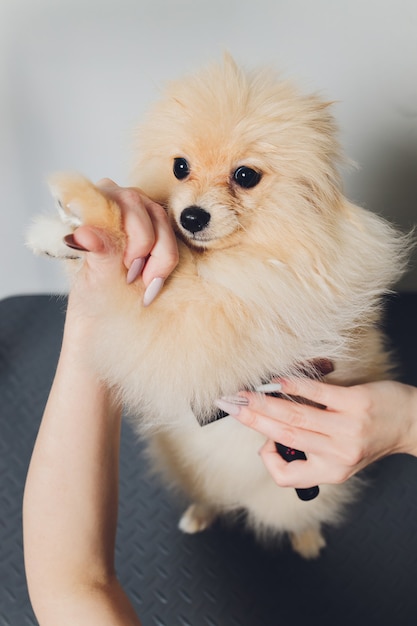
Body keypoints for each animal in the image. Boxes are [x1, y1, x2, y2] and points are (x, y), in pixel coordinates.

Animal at [28, 57, 410, 556]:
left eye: (245, 176)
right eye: (180, 167)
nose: (191, 217)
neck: (218, 264)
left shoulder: (215, 319)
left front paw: (91, 204)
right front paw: (59, 234)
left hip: (296, 487)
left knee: (302, 509)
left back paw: (306, 538)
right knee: (209, 493)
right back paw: (201, 512)